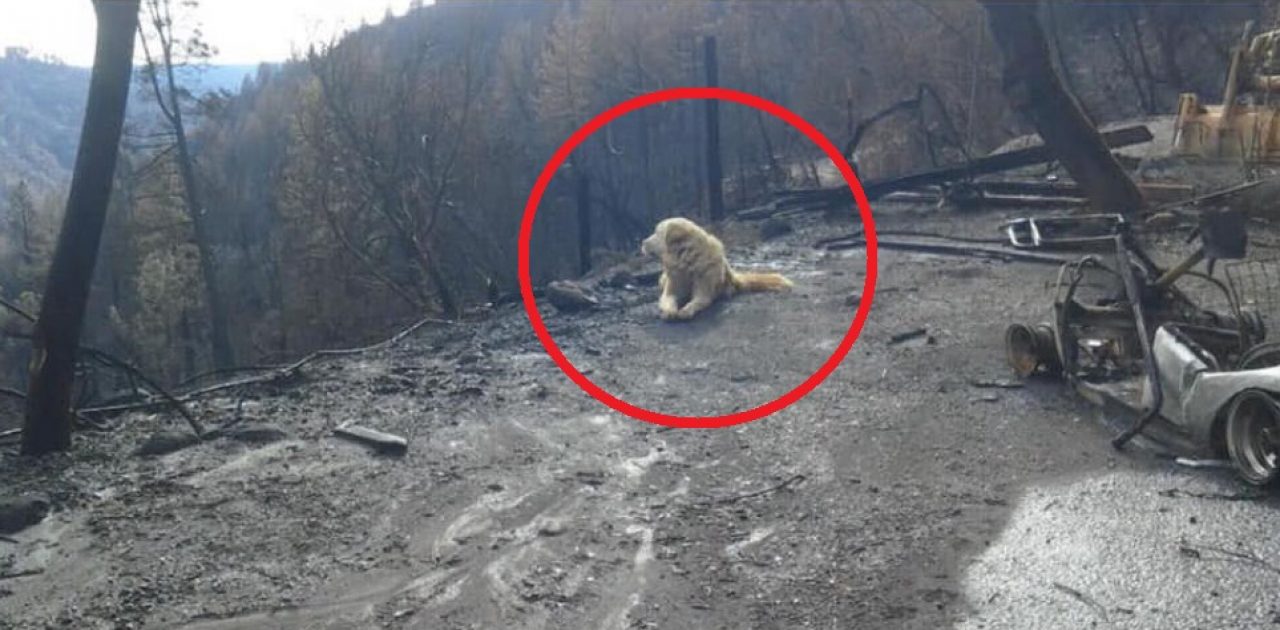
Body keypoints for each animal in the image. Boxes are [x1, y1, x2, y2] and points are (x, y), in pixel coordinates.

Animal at [640, 218, 788, 322]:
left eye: (657, 233)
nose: (642, 242)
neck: (687, 261)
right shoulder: (673, 287)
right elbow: (668, 299)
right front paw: (669, 311)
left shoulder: (703, 292)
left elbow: (696, 301)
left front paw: (686, 310)